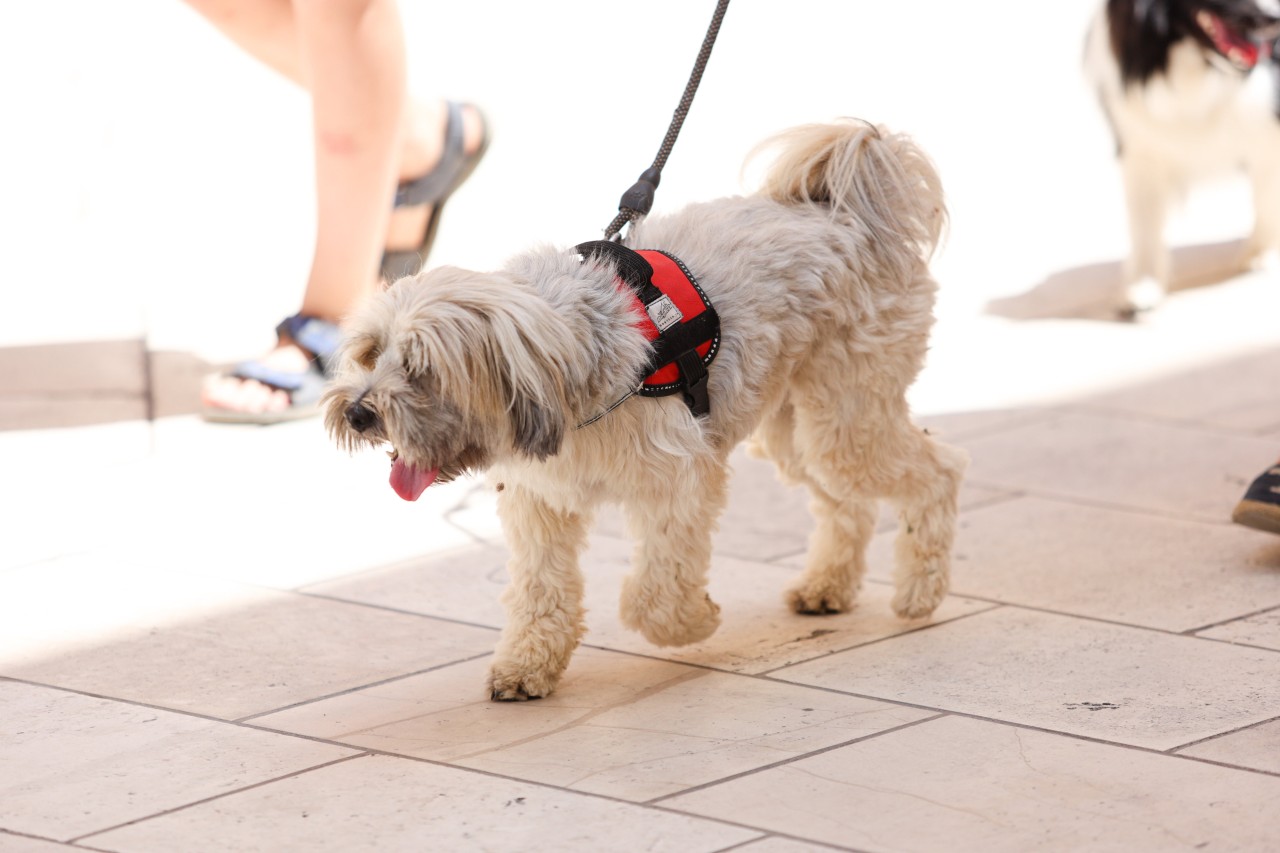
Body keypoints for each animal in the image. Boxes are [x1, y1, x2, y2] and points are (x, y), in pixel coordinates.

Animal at [325, 121, 962, 701]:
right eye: (370, 353)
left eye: (422, 369)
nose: (358, 413)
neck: (580, 361)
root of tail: (845, 215)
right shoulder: (539, 501)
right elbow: (541, 589)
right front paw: (528, 664)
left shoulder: (681, 483)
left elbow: (654, 596)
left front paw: (694, 621)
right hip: (797, 430)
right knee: (846, 504)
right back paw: (828, 585)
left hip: (846, 421)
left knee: (939, 471)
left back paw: (921, 590)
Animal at [1085, 0, 1280, 313]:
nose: (1274, 19)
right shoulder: (1141, 148)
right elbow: (1144, 222)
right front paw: (1143, 286)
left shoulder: (1267, 130)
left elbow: (1267, 198)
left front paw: (1260, 254)